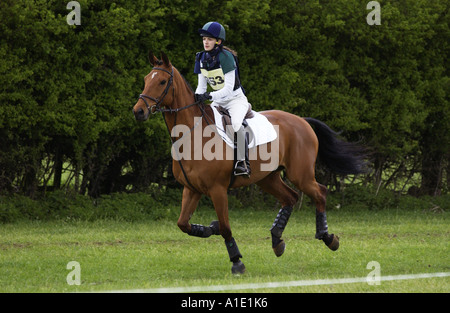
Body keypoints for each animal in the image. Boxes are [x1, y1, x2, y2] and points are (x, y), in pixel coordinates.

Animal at [133, 51, 366, 272]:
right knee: (290, 197)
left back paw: (328, 237)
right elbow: (183, 223)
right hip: (267, 177)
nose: (138, 111)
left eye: (162, 81)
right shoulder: (192, 189)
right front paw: (211, 228)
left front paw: (236, 261)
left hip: (300, 174)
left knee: (320, 193)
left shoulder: (217, 189)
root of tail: (301, 120)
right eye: (146, 79)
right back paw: (277, 240)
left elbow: (226, 227)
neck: (192, 133)